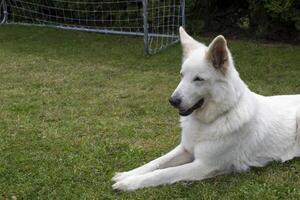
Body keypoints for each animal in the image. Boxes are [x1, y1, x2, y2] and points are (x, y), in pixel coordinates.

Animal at [112, 27, 300, 191]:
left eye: (198, 79)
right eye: (181, 75)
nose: (172, 101)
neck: (212, 119)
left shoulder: (203, 166)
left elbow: (163, 173)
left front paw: (129, 183)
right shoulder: (185, 149)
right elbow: (155, 162)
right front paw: (126, 174)